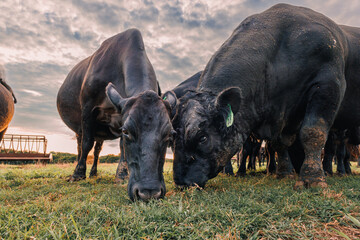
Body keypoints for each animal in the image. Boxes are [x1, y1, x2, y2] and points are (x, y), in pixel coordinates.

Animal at [57, 29, 173, 202]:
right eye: (126, 131)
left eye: (170, 135)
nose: (149, 192)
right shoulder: (87, 108)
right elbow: (86, 143)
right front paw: (77, 174)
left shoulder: (120, 117)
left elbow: (121, 148)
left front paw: (122, 175)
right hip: (79, 128)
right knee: (80, 145)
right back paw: (79, 167)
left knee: (97, 151)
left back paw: (93, 173)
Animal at [171, 2, 360, 188]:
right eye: (173, 136)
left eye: (203, 137)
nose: (181, 181)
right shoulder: (283, 114)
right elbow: (278, 143)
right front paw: (283, 173)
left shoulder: (328, 86)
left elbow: (313, 133)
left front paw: (313, 179)